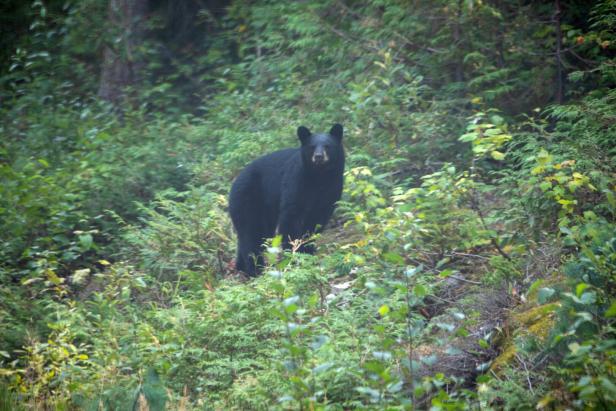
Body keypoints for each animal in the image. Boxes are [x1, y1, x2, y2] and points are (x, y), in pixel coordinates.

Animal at [230, 122, 346, 276]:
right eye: (312, 146)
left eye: (327, 146)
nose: (319, 156)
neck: (319, 177)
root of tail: (234, 182)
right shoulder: (296, 181)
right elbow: (291, 218)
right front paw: (291, 255)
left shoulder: (332, 189)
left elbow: (316, 222)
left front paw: (307, 251)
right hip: (247, 200)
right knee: (251, 233)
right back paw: (255, 269)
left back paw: (241, 266)